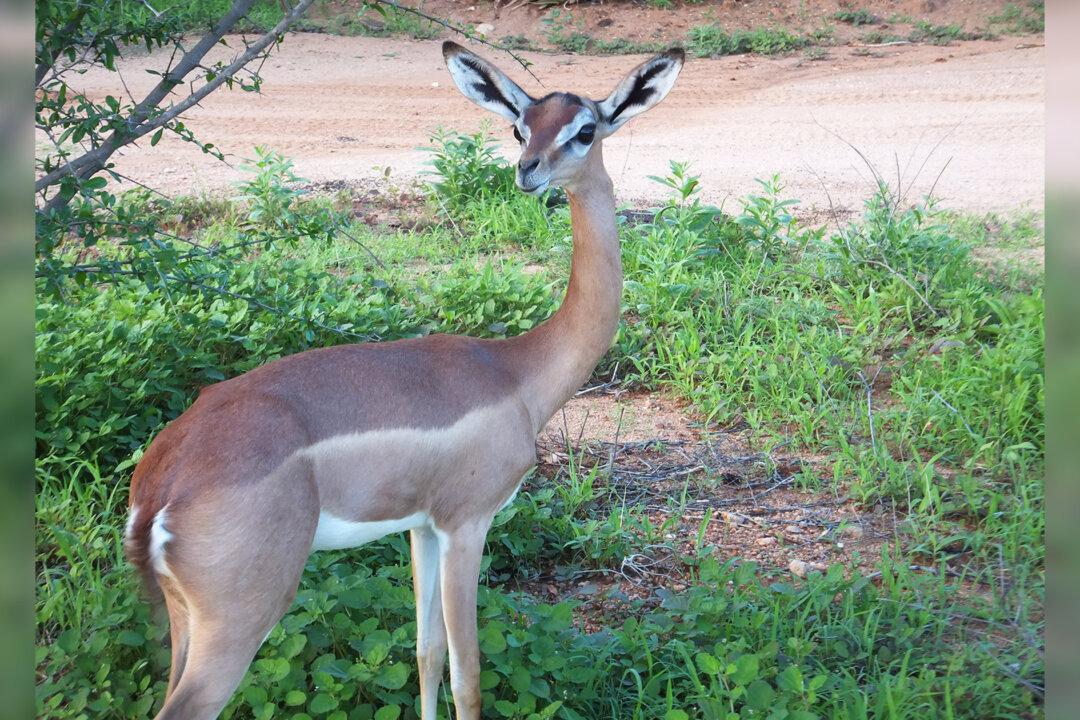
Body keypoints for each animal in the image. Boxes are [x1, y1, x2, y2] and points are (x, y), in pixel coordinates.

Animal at [126, 41, 684, 720]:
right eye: (520, 127)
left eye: (583, 129)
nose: (528, 170)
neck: (517, 372)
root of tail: (163, 479)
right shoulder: (467, 524)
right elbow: (470, 673)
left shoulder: (420, 529)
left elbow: (426, 653)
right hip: (240, 619)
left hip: (182, 620)